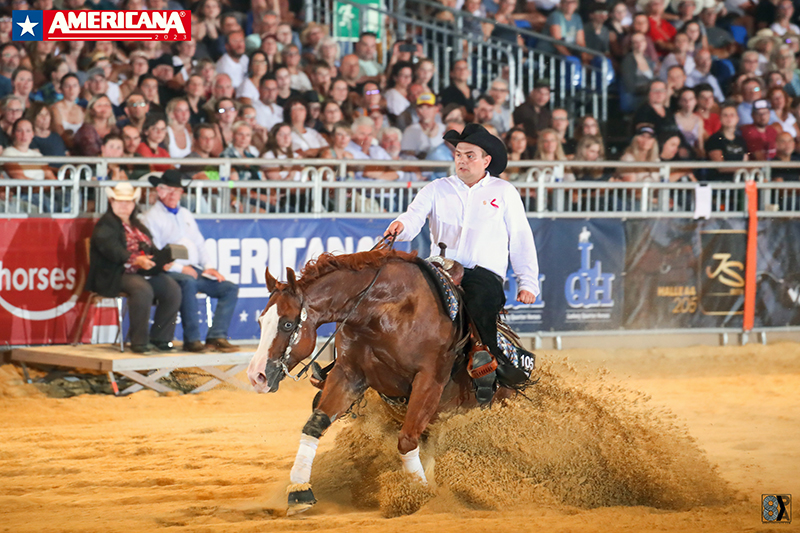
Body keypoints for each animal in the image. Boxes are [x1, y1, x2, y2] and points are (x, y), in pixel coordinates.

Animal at [247, 246, 516, 516]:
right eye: (260, 321)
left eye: (287, 323)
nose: (256, 376)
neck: (382, 311)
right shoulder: (348, 374)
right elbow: (314, 424)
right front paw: (299, 491)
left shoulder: (429, 380)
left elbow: (406, 440)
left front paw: (417, 494)